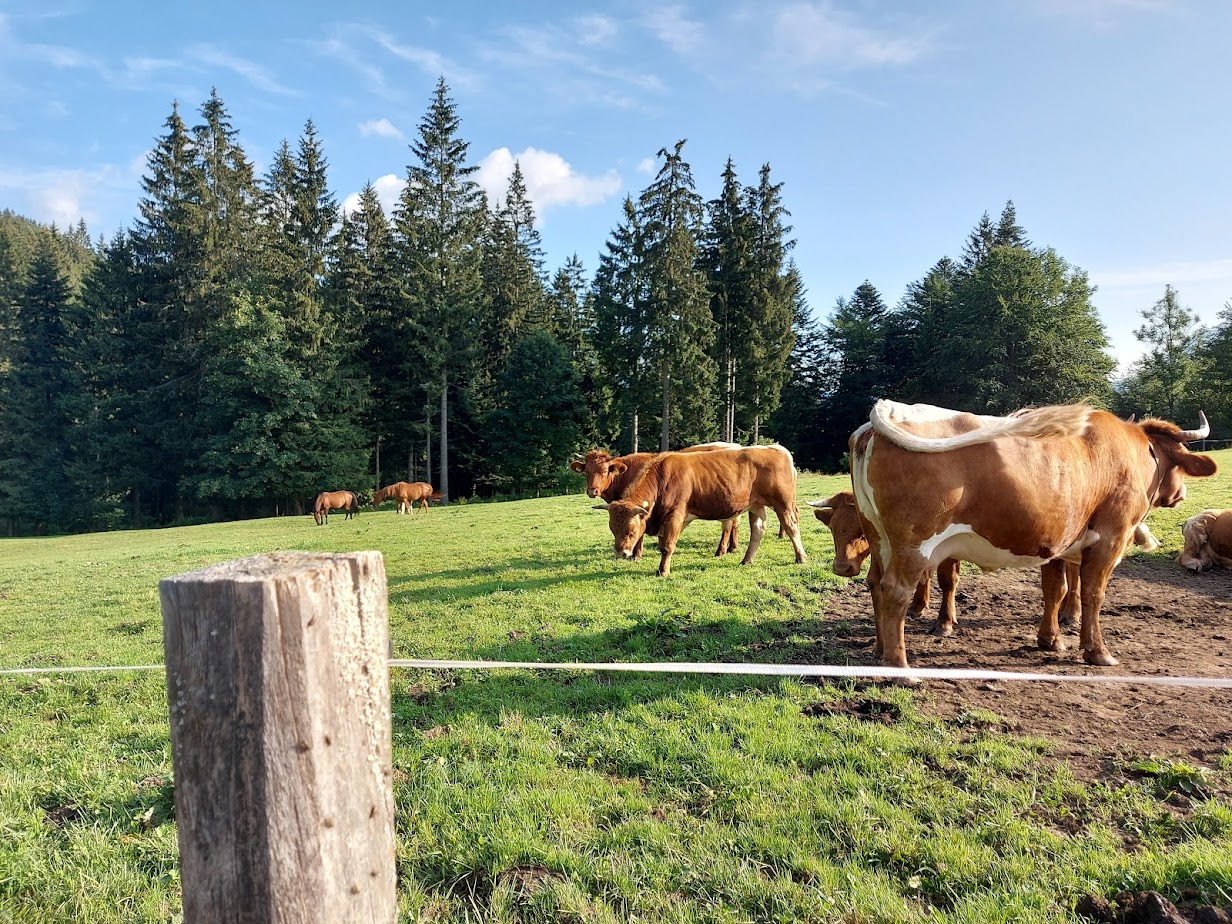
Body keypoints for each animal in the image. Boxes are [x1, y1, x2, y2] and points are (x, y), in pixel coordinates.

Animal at [566, 445, 739, 561]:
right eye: (586, 472)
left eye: (604, 471)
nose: (592, 491)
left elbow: (640, 534)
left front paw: (636, 555)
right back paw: (732, 547)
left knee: (729, 525)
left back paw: (722, 550)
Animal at [596, 445, 808, 576]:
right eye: (613, 529)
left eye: (631, 531)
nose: (621, 553)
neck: (662, 478)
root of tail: (776, 448)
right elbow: (664, 543)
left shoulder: (675, 516)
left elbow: (667, 546)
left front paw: (663, 571)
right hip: (756, 505)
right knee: (758, 529)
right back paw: (747, 560)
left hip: (783, 503)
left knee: (791, 526)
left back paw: (801, 557)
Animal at [847, 401, 1212, 670]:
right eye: (1179, 462)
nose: (1181, 494)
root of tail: (888, 412)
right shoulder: (1111, 537)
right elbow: (1093, 594)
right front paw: (1097, 651)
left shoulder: (1056, 540)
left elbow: (1055, 590)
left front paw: (1050, 640)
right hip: (915, 542)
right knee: (896, 590)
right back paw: (900, 667)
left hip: (878, 536)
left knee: (876, 583)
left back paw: (880, 650)